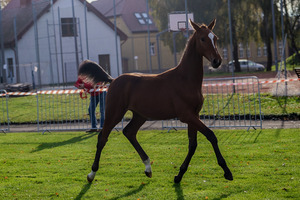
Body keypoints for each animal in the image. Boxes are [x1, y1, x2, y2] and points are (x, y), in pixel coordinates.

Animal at [79, 19, 234, 184]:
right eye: (203, 39)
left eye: (215, 38)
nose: (217, 61)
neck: (186, 79)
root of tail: (113, 80)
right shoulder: (186, 116)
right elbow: (211, 135)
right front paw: (227, 171)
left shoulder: (194, 115)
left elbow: (193, 144)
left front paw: (179, 175)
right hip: (114, 113)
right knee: (103, 137)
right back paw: (91, 174)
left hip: (140, 115)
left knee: (129, 132)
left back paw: (148, 168)